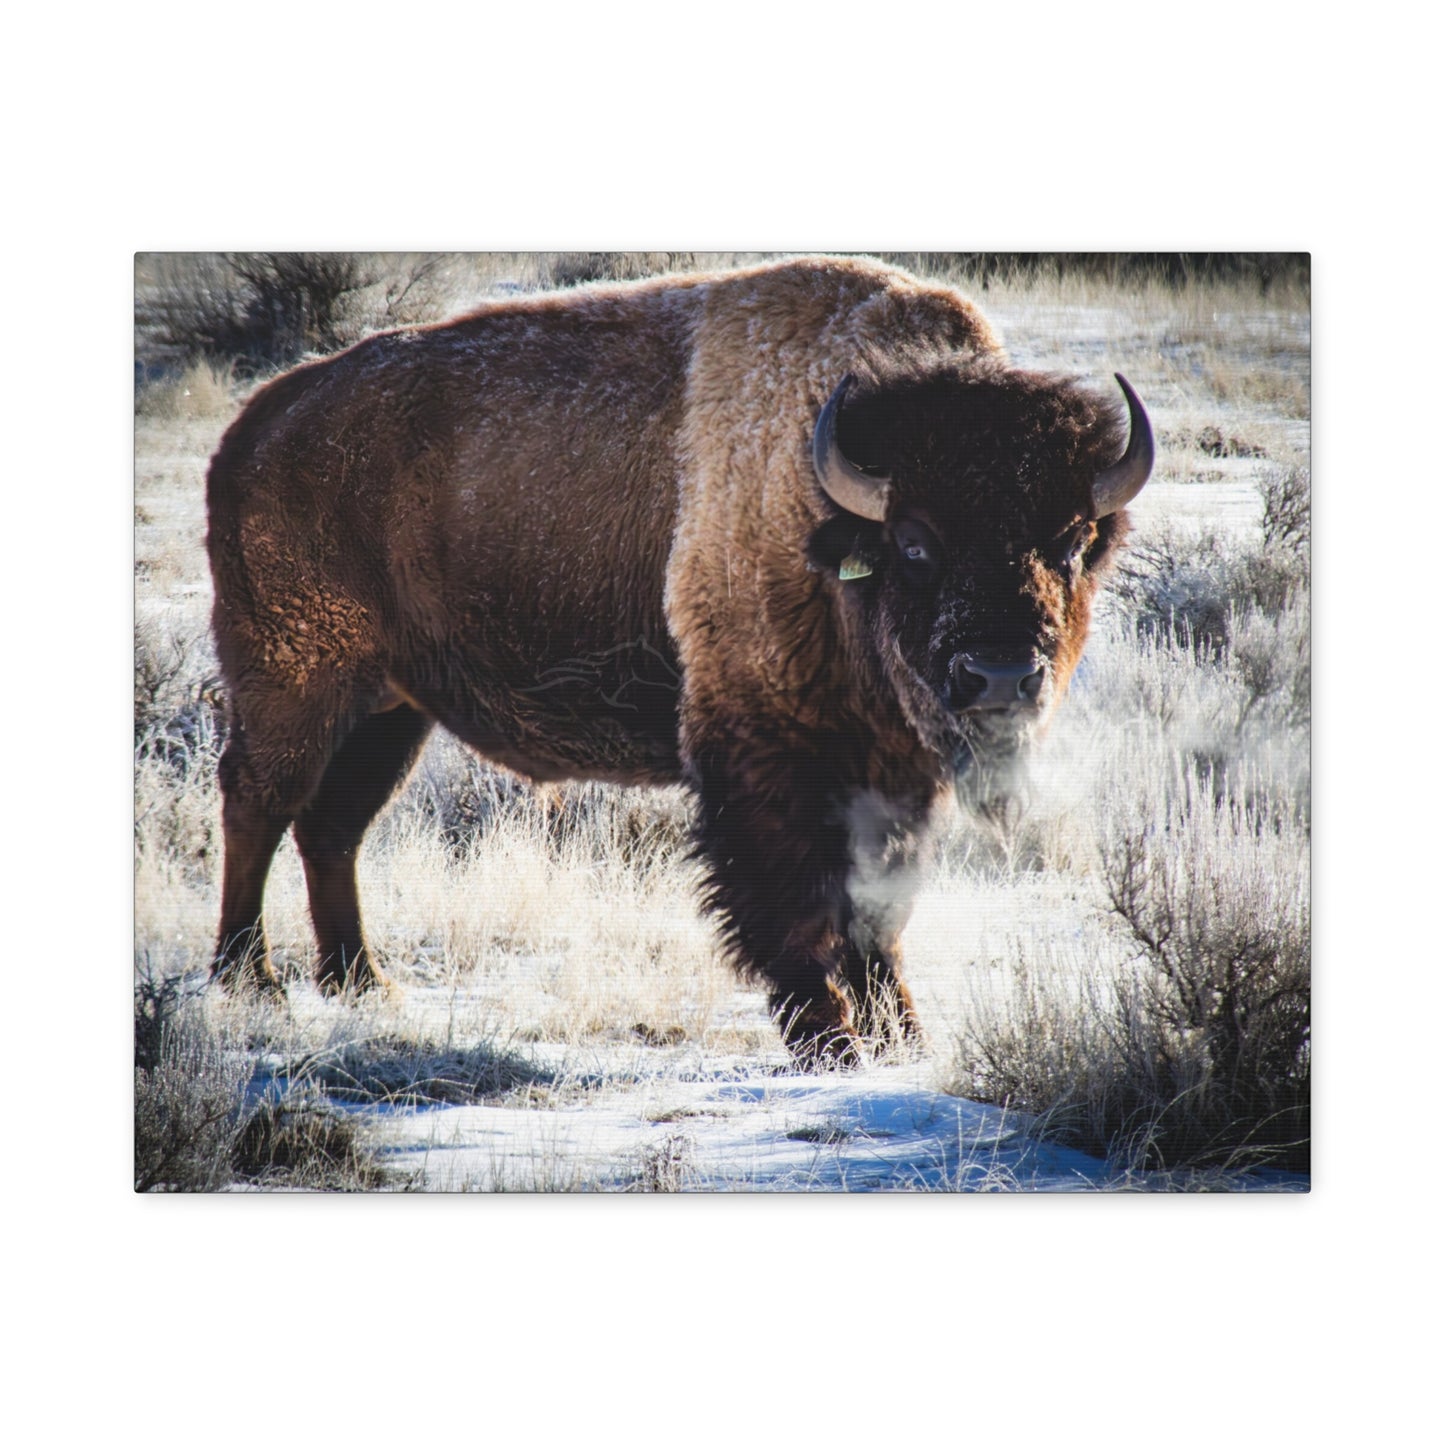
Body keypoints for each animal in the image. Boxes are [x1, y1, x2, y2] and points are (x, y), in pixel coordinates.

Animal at [206, 255, 1152, 1065]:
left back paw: (362, 983)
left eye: (1071, 541)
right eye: (915, 543)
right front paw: (831, 1043)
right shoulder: (766, 754)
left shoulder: (894, 772)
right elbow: (797, 904)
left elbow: (878, 910)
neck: (826, 507)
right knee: (260, 803)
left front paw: (902, 1039)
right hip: (294, 680)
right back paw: (251, 980)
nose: (999, 676)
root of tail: (256, 425)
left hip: (390, 710)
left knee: (333, 826)